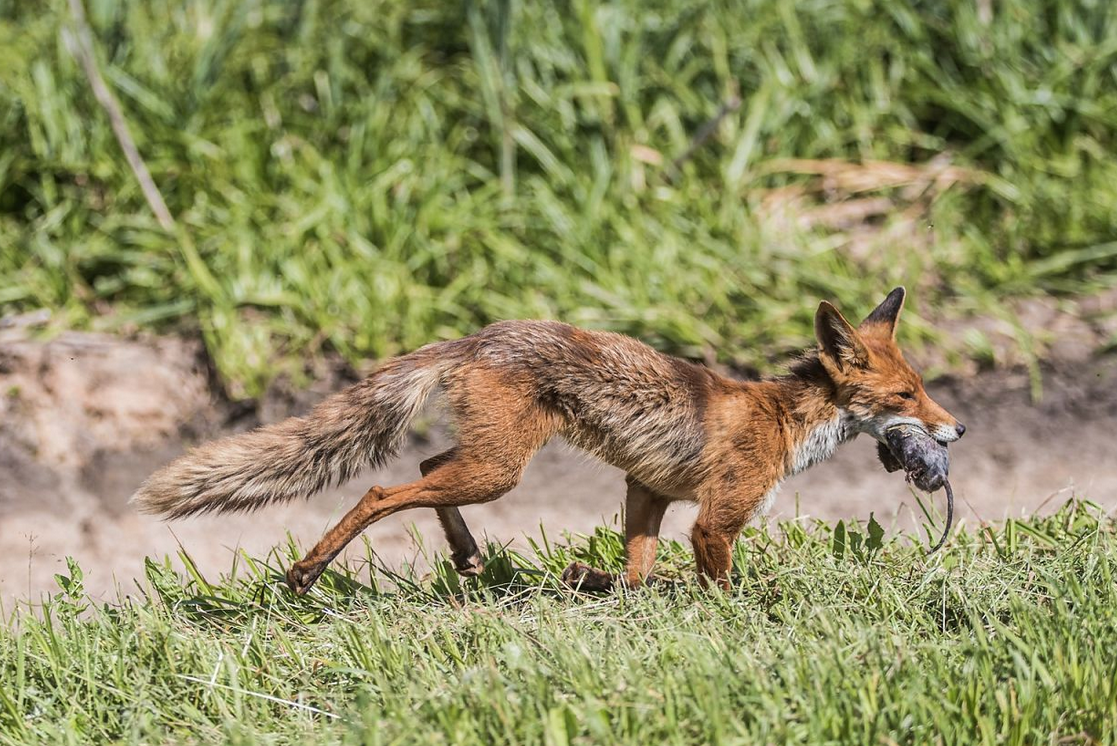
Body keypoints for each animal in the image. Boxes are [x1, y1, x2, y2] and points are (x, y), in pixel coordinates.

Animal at [135, 288, 965, 594]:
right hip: (498, 470)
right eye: (904, 397)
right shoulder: (714, 519)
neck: (784, 420)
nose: (958, 428)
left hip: (486, 459)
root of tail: (478, 335)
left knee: (424, 468)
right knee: (380, 489)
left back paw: (467, 555)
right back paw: (307, 569)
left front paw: (588, 579)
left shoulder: (646, 490)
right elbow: (718, 585)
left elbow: (634, 574)